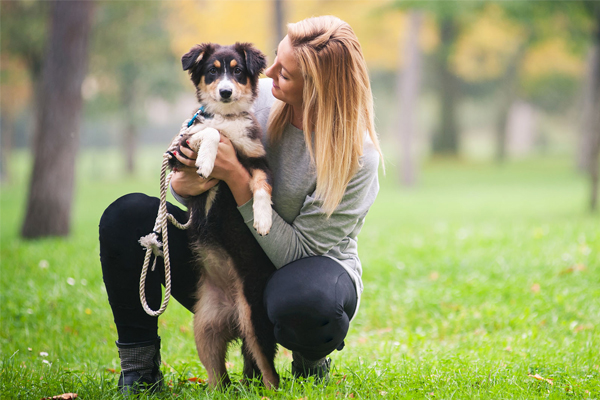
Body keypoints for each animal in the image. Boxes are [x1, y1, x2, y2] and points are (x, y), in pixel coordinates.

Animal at [170, 43, 278, 388]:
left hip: (256, 320)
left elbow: (261, 187)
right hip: (204, 329)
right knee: (219, 377)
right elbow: (210, 133)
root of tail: (233, 315)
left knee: (270, 373)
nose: (226, 91)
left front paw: (262, 220)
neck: (227, 117)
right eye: (212, 72)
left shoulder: (258, 159)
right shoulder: (179, 151)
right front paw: (206, 160)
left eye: (238, 71)